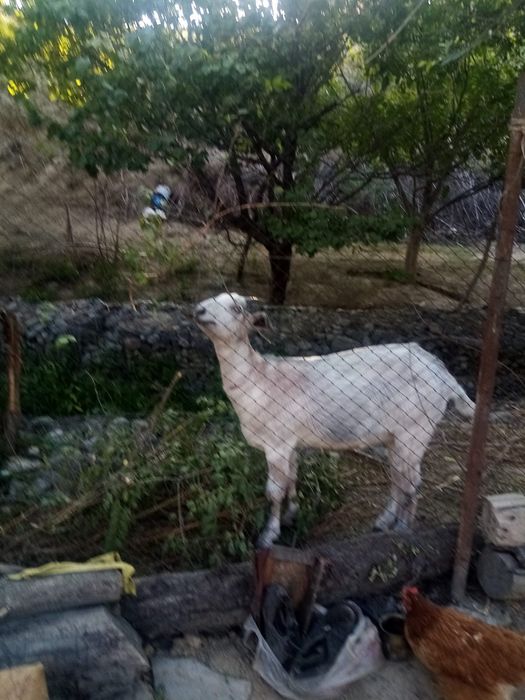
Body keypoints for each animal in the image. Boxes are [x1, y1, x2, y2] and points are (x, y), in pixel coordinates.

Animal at [194, 292, 475, 548]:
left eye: (237, 308)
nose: (199, 310)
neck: (259, 381)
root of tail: (444, 375)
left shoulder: (277, 444)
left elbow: (274, 491)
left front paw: (268, 535)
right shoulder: (290, 444)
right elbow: (292, 479)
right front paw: (291, 515)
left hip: (416, 429)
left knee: (412, 482)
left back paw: (403, 528)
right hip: (396, 436)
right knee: (399, 477)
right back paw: (384, 522)